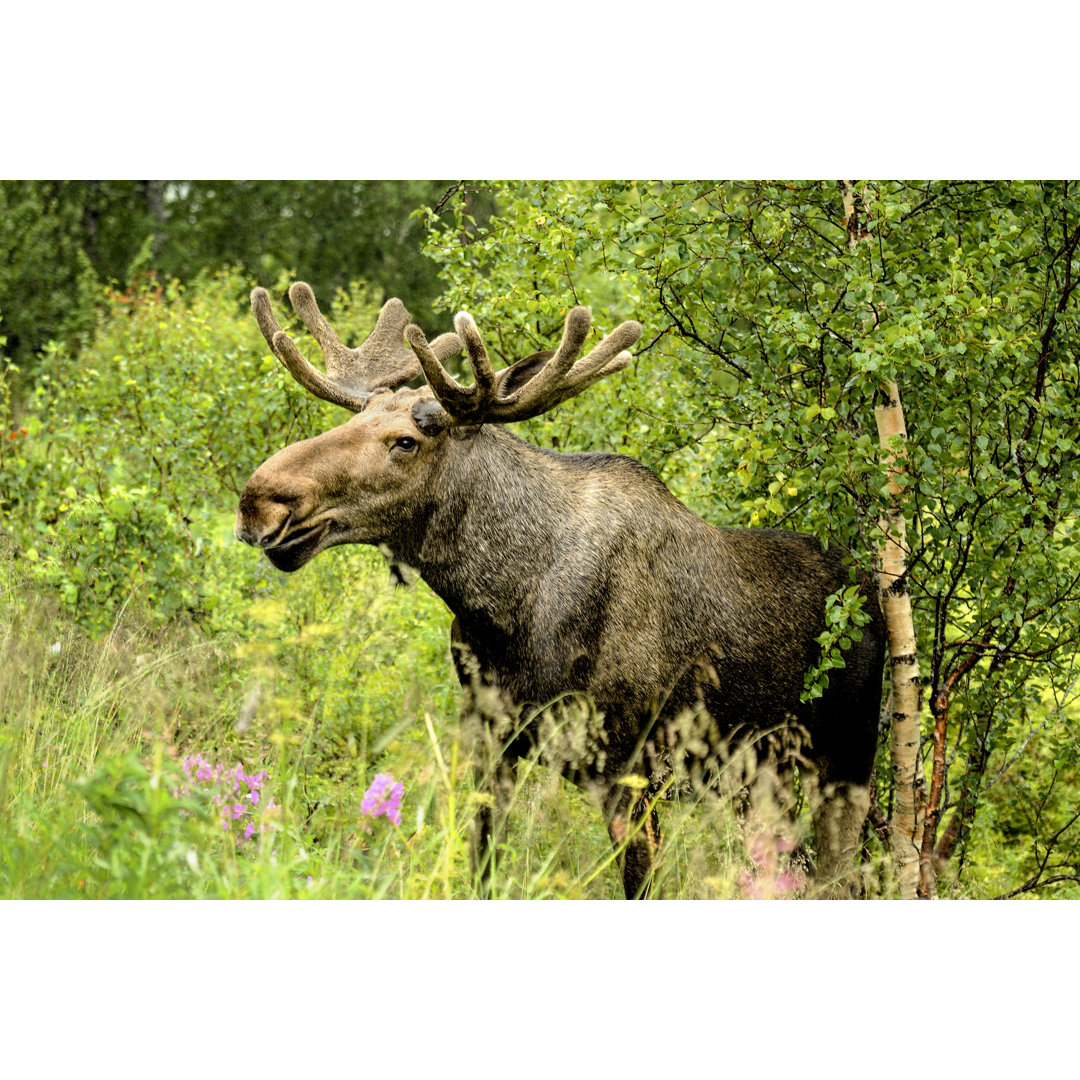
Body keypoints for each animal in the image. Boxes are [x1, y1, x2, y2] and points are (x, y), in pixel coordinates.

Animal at [232, 282, 881, 898]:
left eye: (405, 442)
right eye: (350, 421)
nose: (259, 499)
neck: (502, 609)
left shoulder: (633, 769)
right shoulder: (491, 740)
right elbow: (483, 869)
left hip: (845, 761)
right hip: (760, 779)